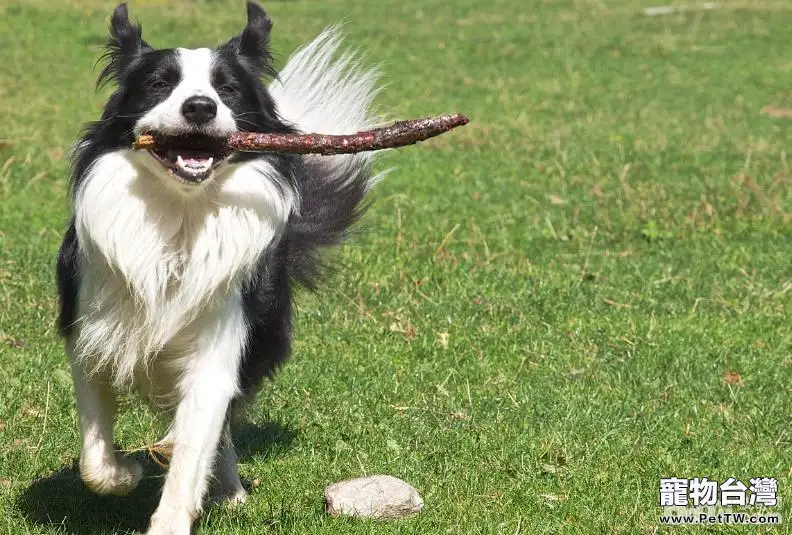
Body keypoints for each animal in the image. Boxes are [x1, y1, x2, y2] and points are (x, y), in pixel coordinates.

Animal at [54, 3, 382, 532]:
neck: (180, 220)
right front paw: (124, 472)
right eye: (159, 84)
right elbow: (94, 456)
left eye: (226, 89)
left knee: (220, 431)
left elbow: (196, 444)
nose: (200, 108)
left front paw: (171, 515)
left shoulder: (219, 347)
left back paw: (227, 489)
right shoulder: (90, 331)